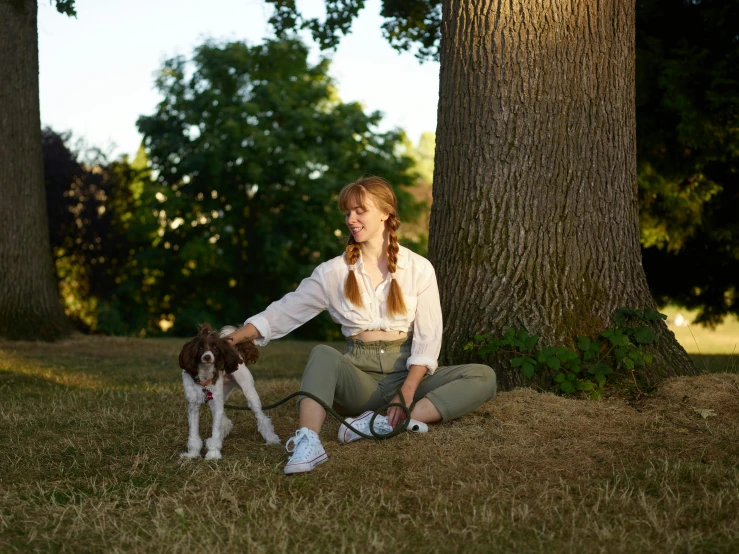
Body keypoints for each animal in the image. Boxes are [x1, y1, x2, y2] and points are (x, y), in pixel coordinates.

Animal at [179, 322, 280, 454]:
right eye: (199, 348)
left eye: (215, 348)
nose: (207, 357)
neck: (204, 378)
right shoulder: (193, 404)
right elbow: (193, 432)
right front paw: (192, 454)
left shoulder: (215, 401)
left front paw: (213, 453)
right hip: (219, 395)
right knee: (224, 421)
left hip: (249, 392)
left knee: (261, 417)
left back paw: (272, 439)